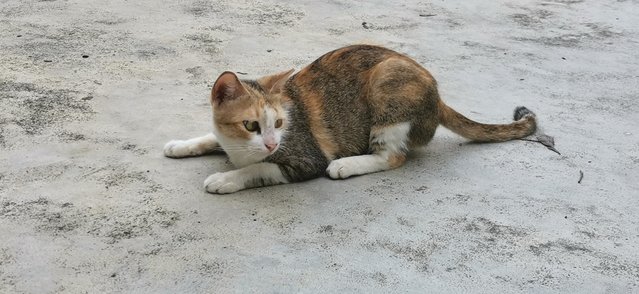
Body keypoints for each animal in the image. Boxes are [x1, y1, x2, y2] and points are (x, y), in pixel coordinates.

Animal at [164, 44, 536, 194]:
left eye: (280, 124)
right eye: (251, 125)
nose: (270, 143)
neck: (239, 149)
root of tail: (437, 95)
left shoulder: (305, 159)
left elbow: (258, 169)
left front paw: (226, 179)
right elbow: (209, 136)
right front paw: (180, 145)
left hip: (388, 84)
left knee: (393, 156)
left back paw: (348, 165)